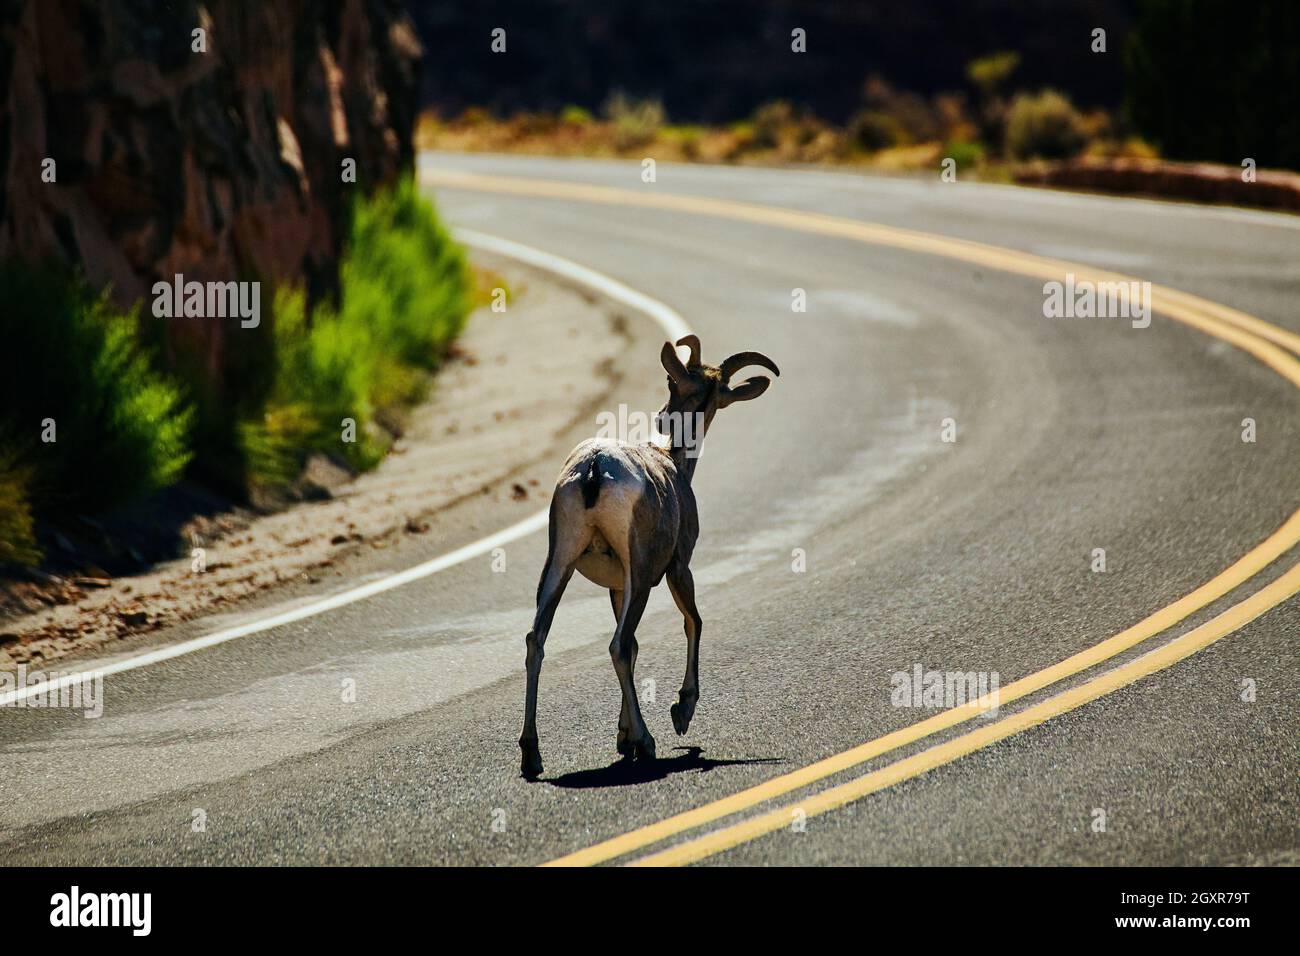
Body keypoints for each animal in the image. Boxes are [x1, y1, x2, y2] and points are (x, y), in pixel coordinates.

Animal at [519, 334, 780, 778]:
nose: (661, 416)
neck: (673, 461)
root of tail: (594, 468)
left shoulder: (616, 585)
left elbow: (641, 646)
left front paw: (623, 737)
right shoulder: (678, 568)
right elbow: (693, 623)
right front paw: (678, 713)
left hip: (559, 564)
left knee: (538, 639)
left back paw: (531, 754)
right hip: (640, 576)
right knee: (618, 645)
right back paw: (648, 741)